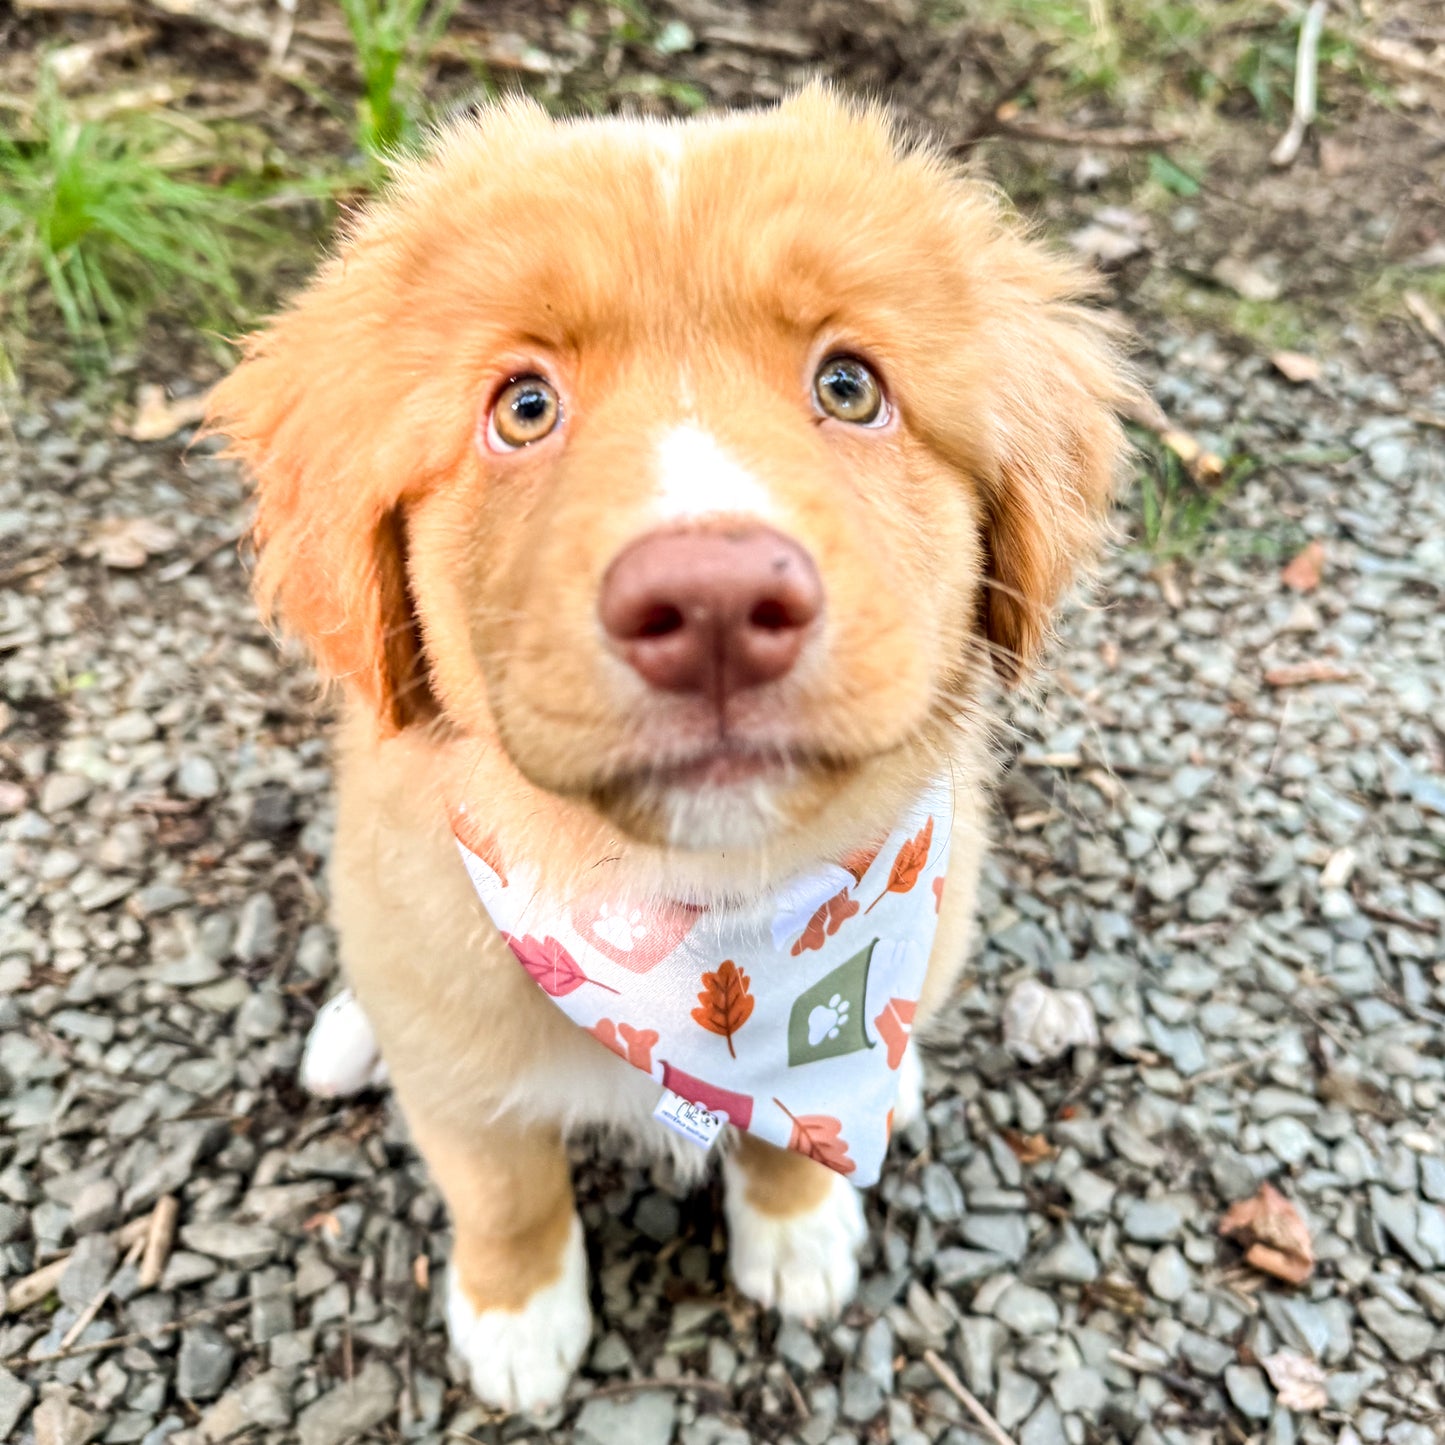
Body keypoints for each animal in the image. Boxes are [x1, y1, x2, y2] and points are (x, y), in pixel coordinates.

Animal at [209, 87, 1132, 1410]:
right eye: (522, 406)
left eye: (848, 385)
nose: (713, 602)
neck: (689, 907)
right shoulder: (448, 1035)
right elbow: (503, 1186)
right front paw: (517, 1316)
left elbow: (794, 1141)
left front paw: (795, 1227)